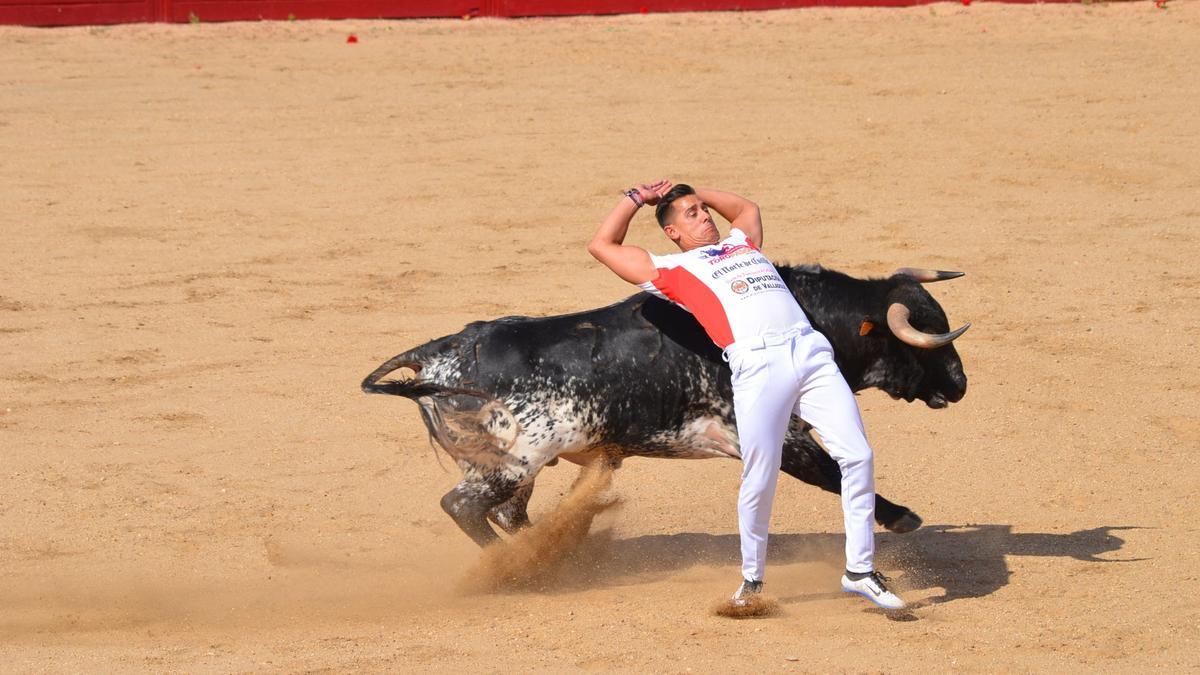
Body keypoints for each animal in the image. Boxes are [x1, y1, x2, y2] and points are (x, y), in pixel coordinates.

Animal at [360, 263, 969, 547]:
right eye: (923, 339)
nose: (963, 383)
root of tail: (440, 351)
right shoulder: (775, 435)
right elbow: (833, 475)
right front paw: (904, 517)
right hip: (513, 462)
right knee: (463, 507)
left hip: (516, 468)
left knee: (506, 514)